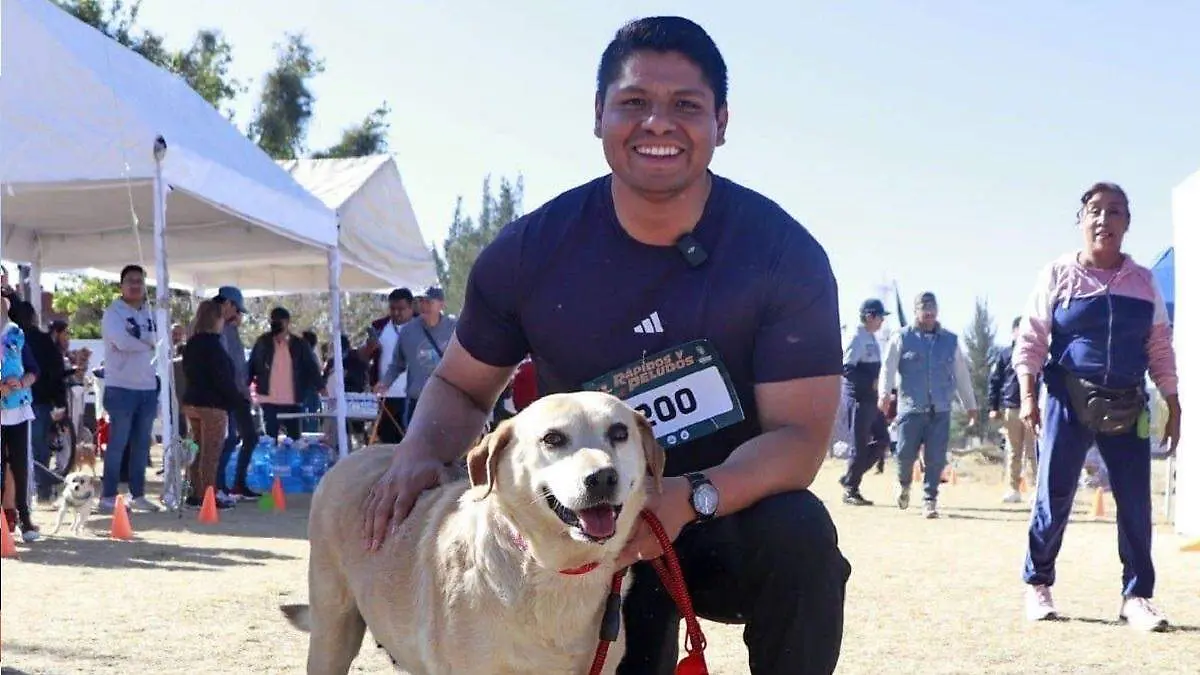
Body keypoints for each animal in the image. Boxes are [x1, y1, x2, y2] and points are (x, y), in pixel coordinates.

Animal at [280, 390, 665, 675]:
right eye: (553, 438)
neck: (552, 569)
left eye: (619, 433)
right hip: (333, 635)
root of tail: (354, 456)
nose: (602, 477)